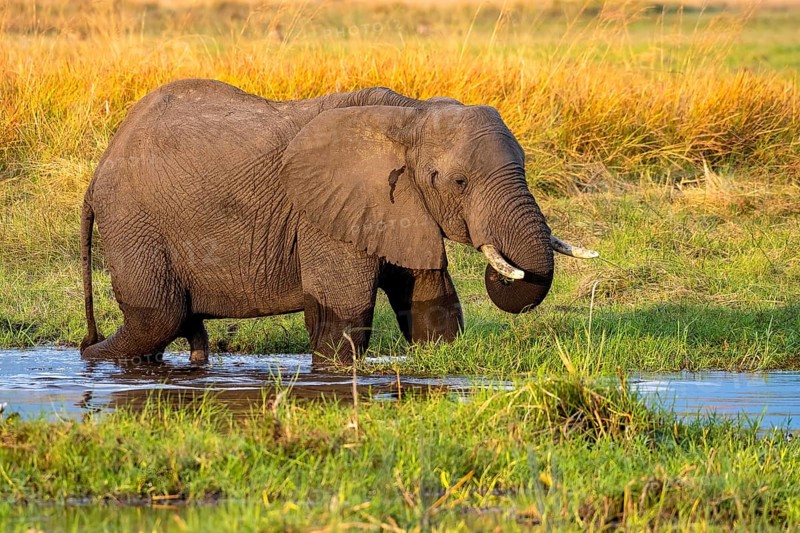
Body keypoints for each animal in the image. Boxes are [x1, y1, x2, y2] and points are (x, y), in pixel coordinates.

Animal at [79, 79, 597, 366]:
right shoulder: (324, 213)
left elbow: (431, 307)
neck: (409, 113)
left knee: (176, 322)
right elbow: (342, 316)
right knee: (157, 317)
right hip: (133, 221)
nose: (501, 266)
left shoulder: (397, 207)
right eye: (457, 182)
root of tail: (99, 170)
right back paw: (90, 359)